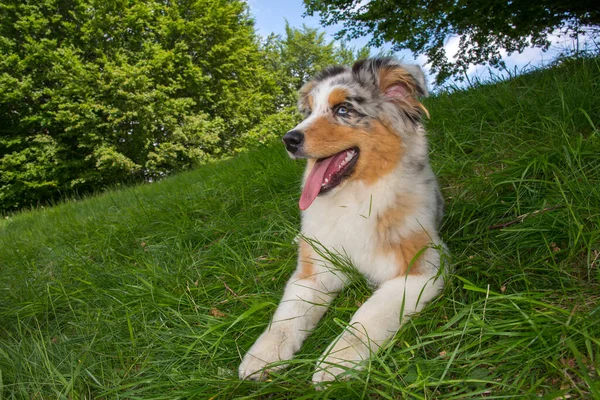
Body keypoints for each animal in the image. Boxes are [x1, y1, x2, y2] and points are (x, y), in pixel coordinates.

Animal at [239, 57, 446, 384]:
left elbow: (367, 316)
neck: (352, 198)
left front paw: (336, 362)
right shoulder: (315, 272)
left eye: (343, 110)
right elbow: (285, 317)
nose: (288, 140)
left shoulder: (420, 269)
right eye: (310, 111)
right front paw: (262, 356)